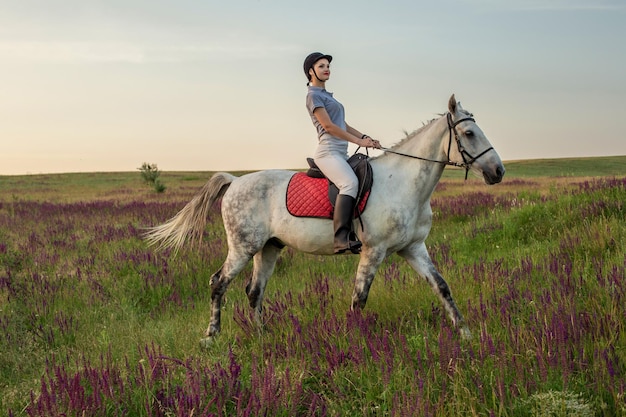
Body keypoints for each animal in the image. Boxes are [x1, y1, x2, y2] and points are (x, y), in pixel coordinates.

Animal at [145, 96, 502, 342]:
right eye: (469, 133)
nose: (498, 171)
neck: (404, 183)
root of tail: (234, 181)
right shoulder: (374, 251)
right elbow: (360, 298)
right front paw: (355, 338)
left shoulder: (413, 248)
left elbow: (441, 286)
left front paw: (466, 333)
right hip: (243, 248)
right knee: (218, 283)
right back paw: (211, 335)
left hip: (269, 248)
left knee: (254, 291)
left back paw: (262, 334)